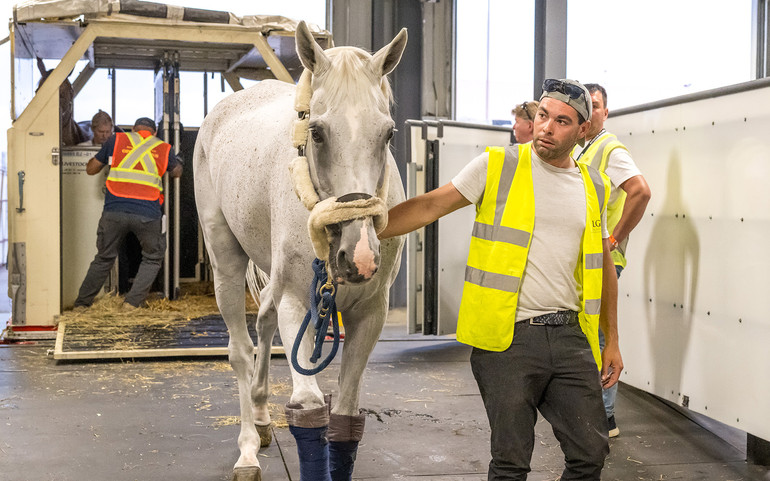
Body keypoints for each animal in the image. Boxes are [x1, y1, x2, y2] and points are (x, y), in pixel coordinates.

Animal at [195, 19, 404, 480]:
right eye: (317, 132)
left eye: (389, 133)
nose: (359, 256)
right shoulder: (296, 301)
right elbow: (308, 407)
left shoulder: (370, 312)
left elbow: (344, 414)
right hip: (225, 260)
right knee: (241, 350)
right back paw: (248, 449)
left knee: (263, 324)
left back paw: (260, 419)